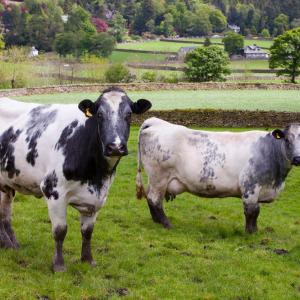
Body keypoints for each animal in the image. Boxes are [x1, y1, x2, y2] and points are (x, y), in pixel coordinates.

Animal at [0, 87, 151, 272]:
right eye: (99, 114)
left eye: (129, 114)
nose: (115, 147)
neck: (96, 175)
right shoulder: (53, 190)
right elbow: (60, 231)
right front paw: (59, 265)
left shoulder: (97, 197)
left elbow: (87, 232)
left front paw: (87, 260)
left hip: (7, 183)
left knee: (5, 215)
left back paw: (12, 245)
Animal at [137, 117, 300, 232]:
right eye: (287, 139)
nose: (297, 158)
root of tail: (156, 122)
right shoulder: (250, 186)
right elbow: (251, 211)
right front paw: (250, 233)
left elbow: (256, 211)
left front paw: (255, 230)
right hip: (159, 177)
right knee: (155, 199)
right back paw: (167, 224)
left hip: (154, 179)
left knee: (149, 197)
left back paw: (156, 221)